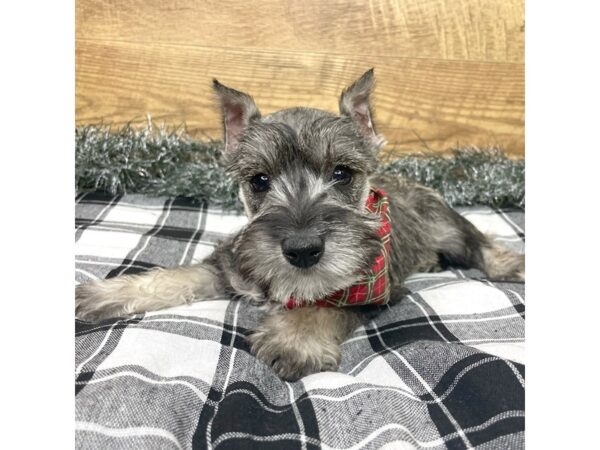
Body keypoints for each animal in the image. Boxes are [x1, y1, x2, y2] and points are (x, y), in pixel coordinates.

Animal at [76, 68, 524, 382]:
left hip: (445, 223)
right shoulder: (230, 265)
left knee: (478, 242)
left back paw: (510, 263)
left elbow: (325, 305)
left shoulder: (374, 290)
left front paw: (295, 340)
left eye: (342, 173)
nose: (303, 249)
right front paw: (105, 295)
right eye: (259, 180)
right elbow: (175, 277)